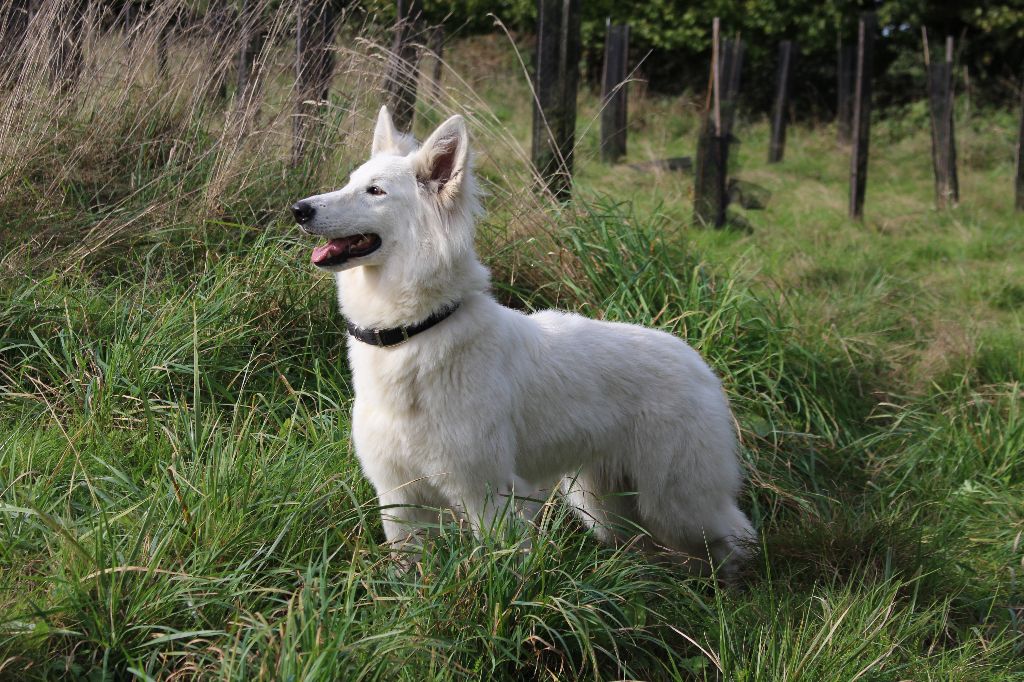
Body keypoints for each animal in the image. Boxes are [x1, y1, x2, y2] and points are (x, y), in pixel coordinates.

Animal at [292, 107, 757, 573]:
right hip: (604, 508)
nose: (298, 209)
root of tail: (698, 361)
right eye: (349, 183)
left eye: (375, 191)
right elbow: (410, 568)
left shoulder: (489, 497)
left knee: (737, 536)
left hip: (678, 506)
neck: (413, 332)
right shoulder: (400, 500)